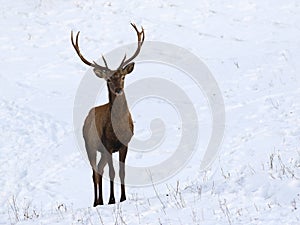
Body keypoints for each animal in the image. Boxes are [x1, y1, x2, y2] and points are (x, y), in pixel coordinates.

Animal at [71, 23, 145, 207]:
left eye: (123, 77)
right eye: (109, 80)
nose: (118, 90)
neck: (118, 126)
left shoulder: (125, 144)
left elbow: (121, 172)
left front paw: (123, 198)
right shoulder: (108, 145)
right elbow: (112, 172)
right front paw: (112, 200)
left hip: (102, 151)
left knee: (99, 169)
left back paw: (101, 200)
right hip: (89, 145)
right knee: (94, 173)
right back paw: (96, 201)